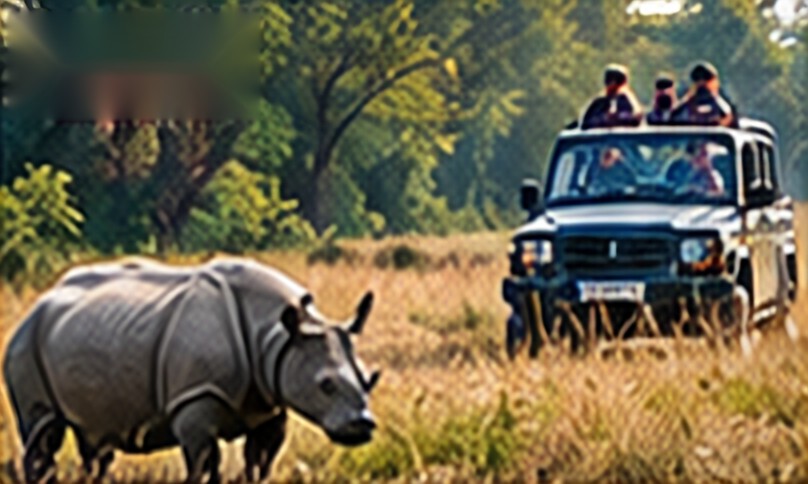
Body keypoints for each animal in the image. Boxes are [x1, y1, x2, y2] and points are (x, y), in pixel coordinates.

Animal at [3, 257, 380, 483]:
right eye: (325, 385)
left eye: (370, 379)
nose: (363, 425)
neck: (276, 335)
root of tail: (38, 302)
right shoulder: (195, 399)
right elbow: (201, 462)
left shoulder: (269, 402)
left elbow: (259, 461)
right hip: (24, 344)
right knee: (42, 431)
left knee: (92, 437)